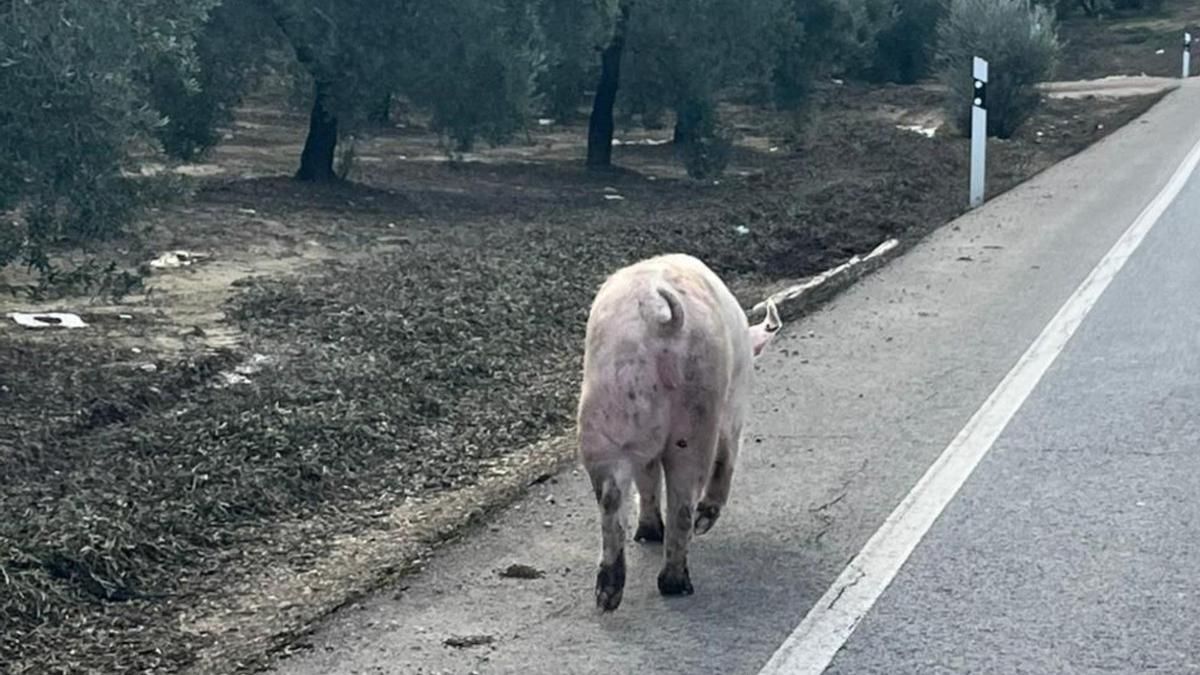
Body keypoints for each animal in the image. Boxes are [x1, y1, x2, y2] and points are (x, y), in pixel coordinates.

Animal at [576, 253, 782, 611]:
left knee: (611, 496)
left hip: (603, 415)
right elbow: (728, 454)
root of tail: (660, 319)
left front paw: (648, 532)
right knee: (685, 499)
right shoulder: (735, 403)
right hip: (699, 413)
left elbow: (646, 477)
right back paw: (678, 581)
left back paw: (609, 594)